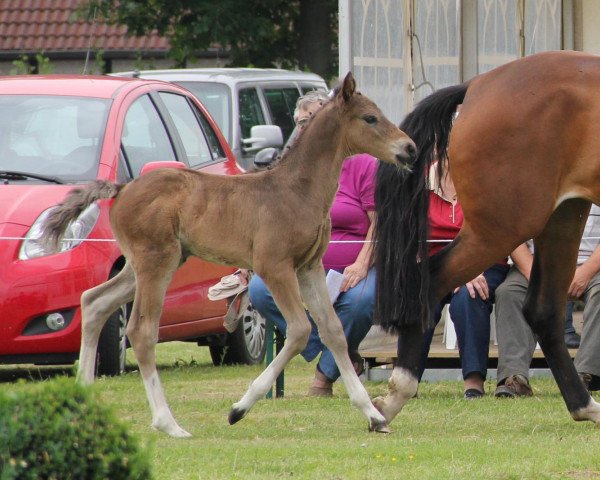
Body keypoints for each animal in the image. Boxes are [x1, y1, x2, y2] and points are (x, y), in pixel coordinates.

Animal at [43, 73, 418, 436]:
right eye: (370, 118)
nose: (410, 148)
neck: (295, 190)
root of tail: (121, 189)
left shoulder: (309, 267)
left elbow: (333, 330)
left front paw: (374, 415)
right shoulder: (274, 267)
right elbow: (299, 331)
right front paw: (239, 409)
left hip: (142, 265)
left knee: (94, 302)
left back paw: (83, 405)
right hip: (156, 262)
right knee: (141, 331)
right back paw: (168, 423)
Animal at [372, 50, 600, 426]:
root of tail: (478, 86)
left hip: (562, 216)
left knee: (543, 310)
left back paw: (585, 406)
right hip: (502, 227)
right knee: (432, 281)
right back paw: (395, 396)